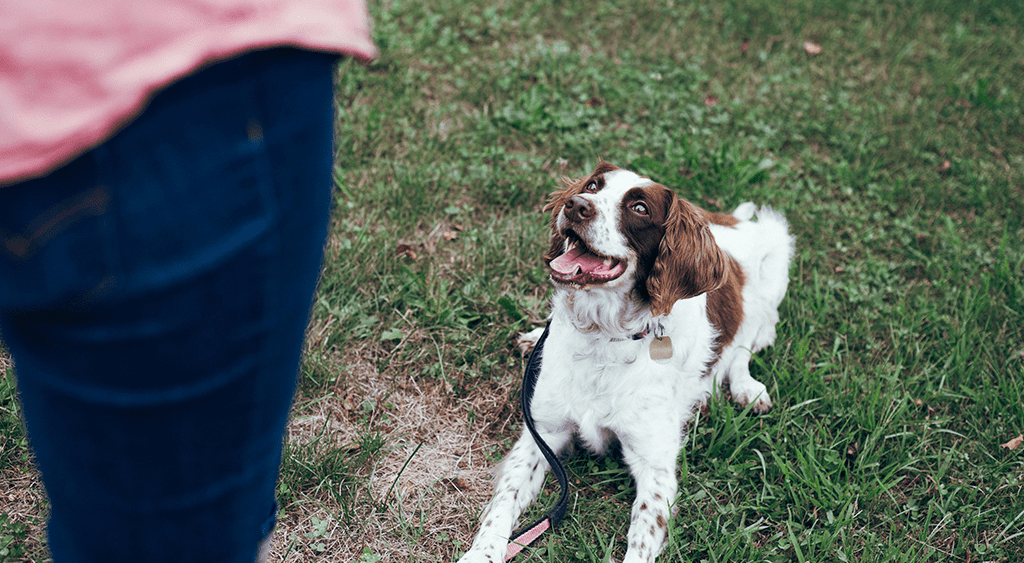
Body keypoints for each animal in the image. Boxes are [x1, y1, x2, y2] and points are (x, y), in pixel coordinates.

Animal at [458, 160, 798, 563]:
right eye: (592, 185)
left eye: (639, 208)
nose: (576, 205)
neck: (603, 336)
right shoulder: (542, 433)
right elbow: (502, 505)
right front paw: (480, 554)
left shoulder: (655, 467)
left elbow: (641, 538)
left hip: (776, 256)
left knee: (748, 340)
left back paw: (747, 387)